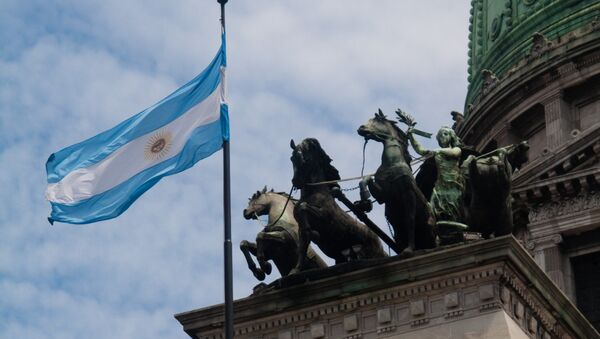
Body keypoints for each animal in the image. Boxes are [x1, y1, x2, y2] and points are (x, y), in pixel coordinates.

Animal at [356, 111, 436, 255]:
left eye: (378, 120)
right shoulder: (383, 196)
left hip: (429, 227)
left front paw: (409, 249)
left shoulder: (408, 193)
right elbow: (366, 178)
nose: (361, 128)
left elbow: (410, 219)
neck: (392, 163)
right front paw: (364, 199)